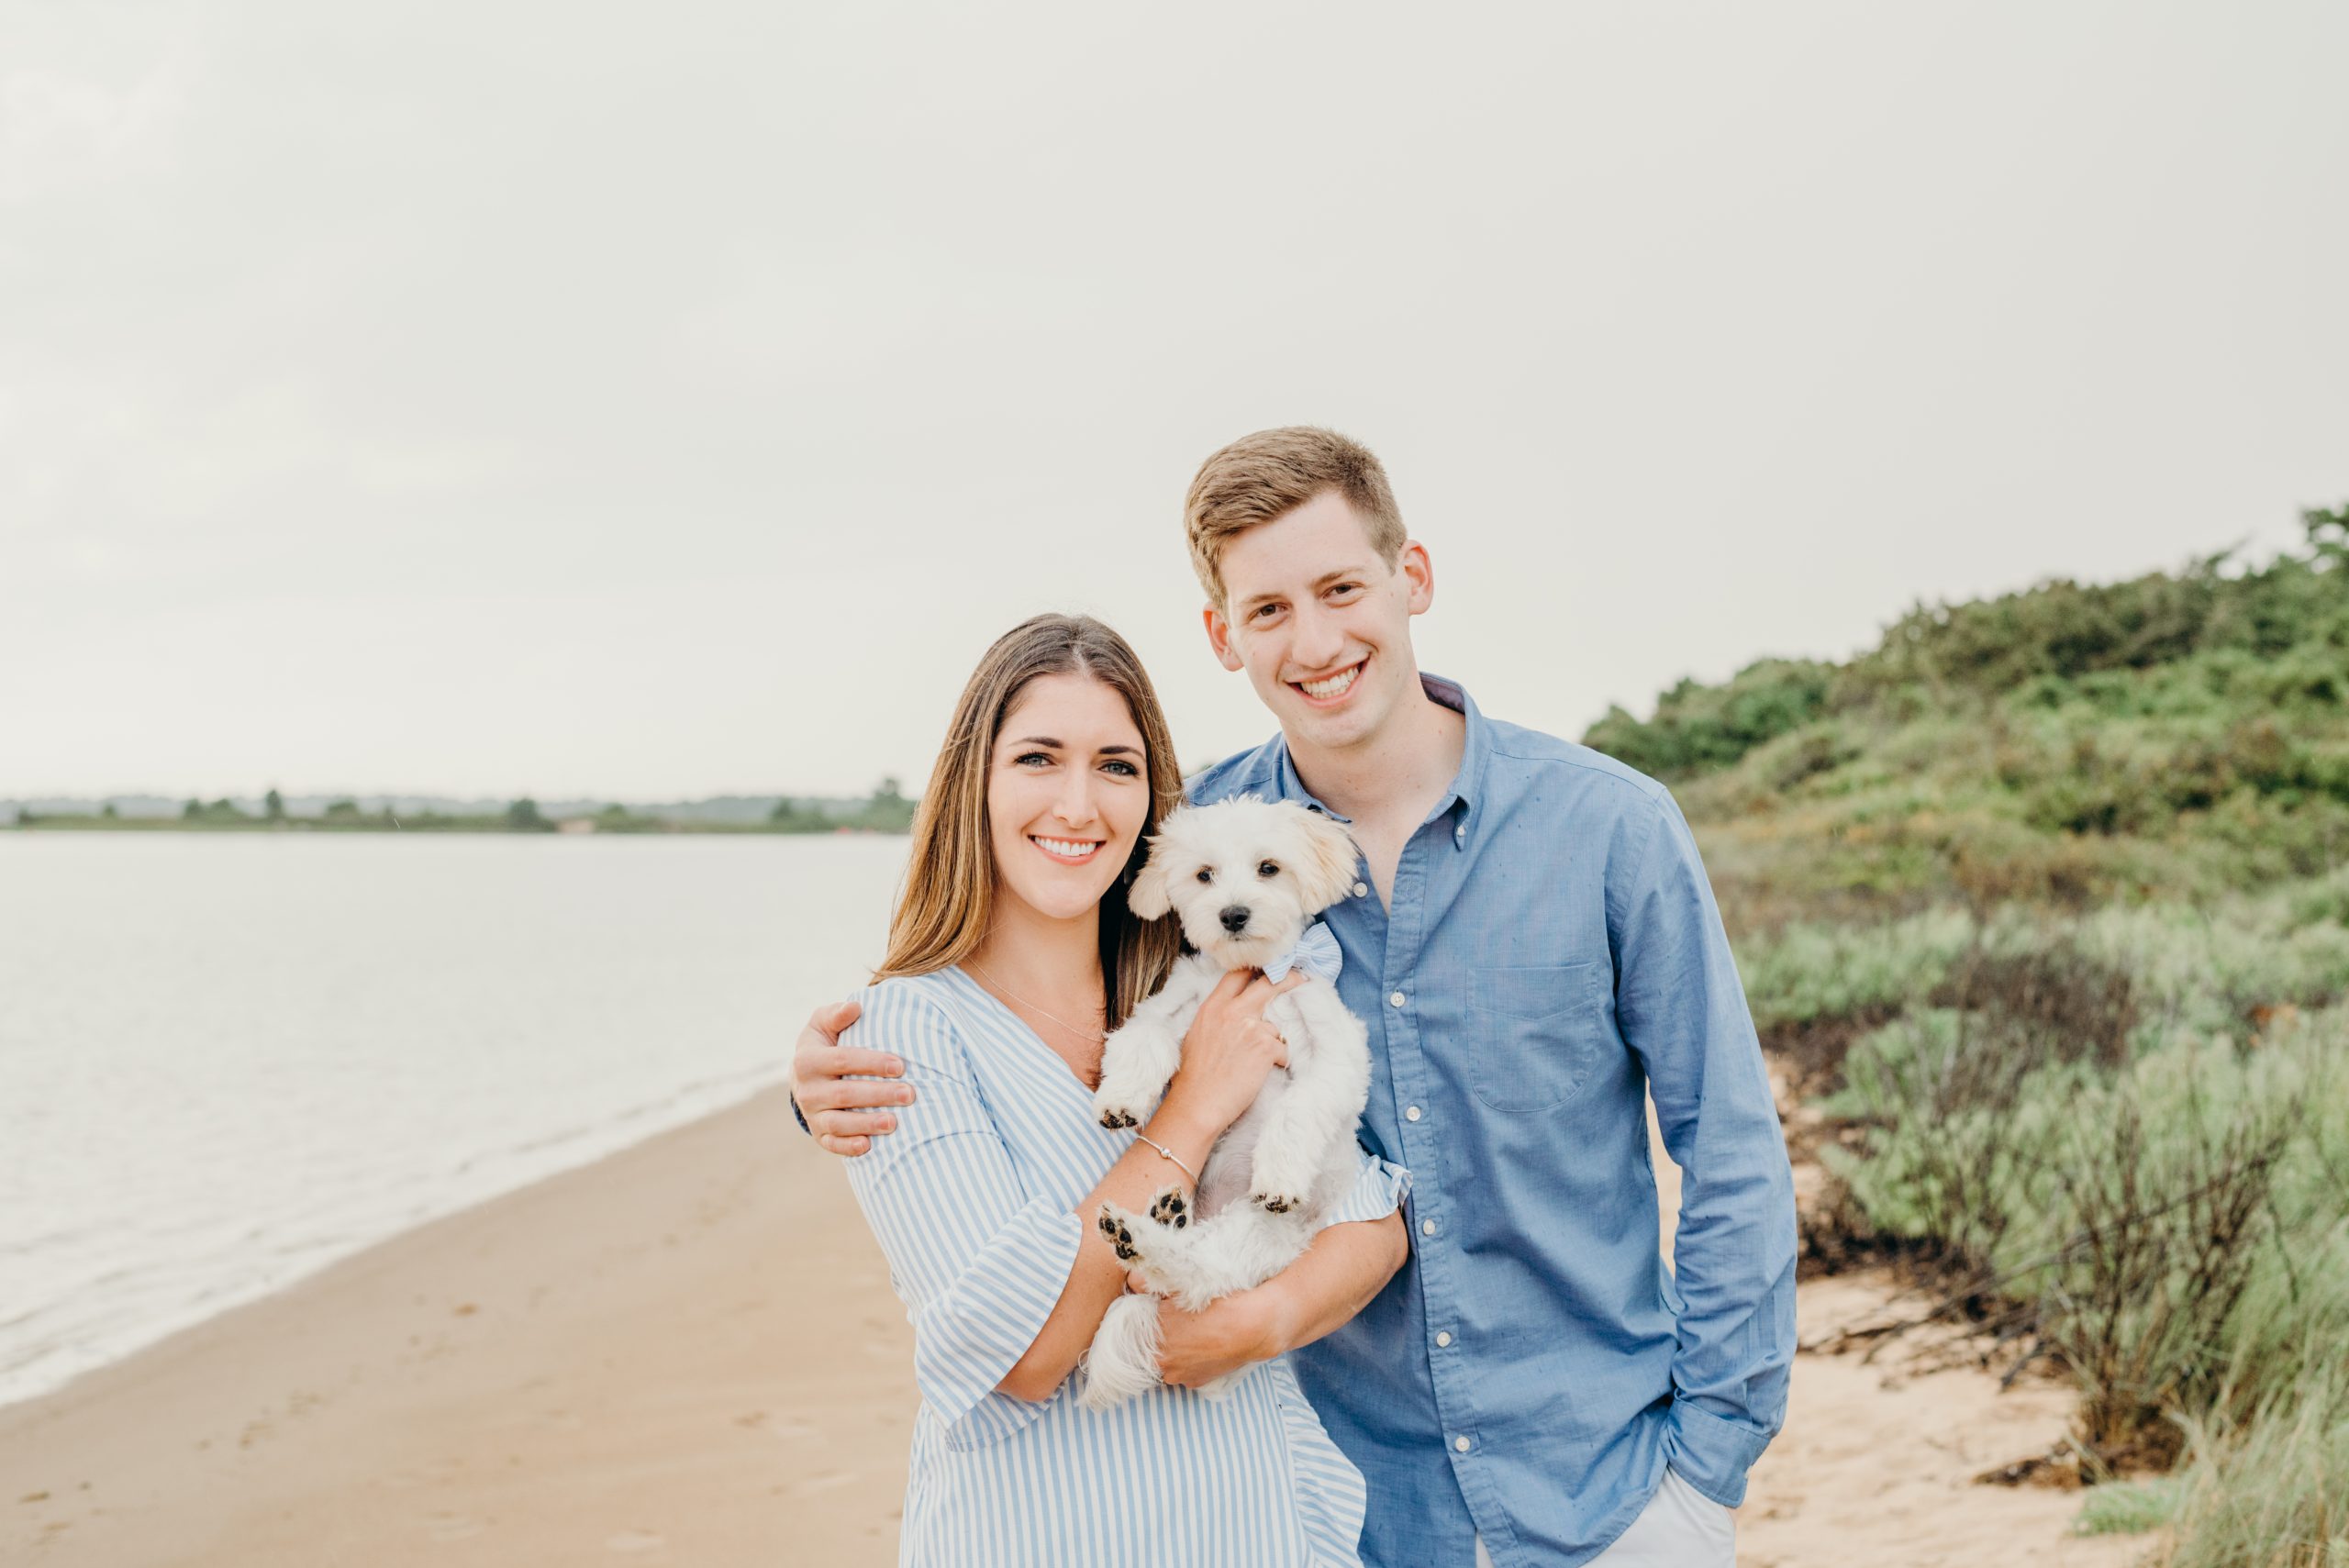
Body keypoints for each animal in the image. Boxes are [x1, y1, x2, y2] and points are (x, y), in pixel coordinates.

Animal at [1080, 797, 1372, 1408]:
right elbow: (1141, 1041)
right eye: (1203, 875)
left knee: (1200, 1274)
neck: (1255, 974)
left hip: (1255, 1234)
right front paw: (1120, 1100)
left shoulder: (1337, 1059)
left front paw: (1279, 1177)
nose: (1233, 915)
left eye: (1269, 868)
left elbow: (1298, 1109)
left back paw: (1147, 1234)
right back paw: (1156, 1225)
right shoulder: (1170, 1008)